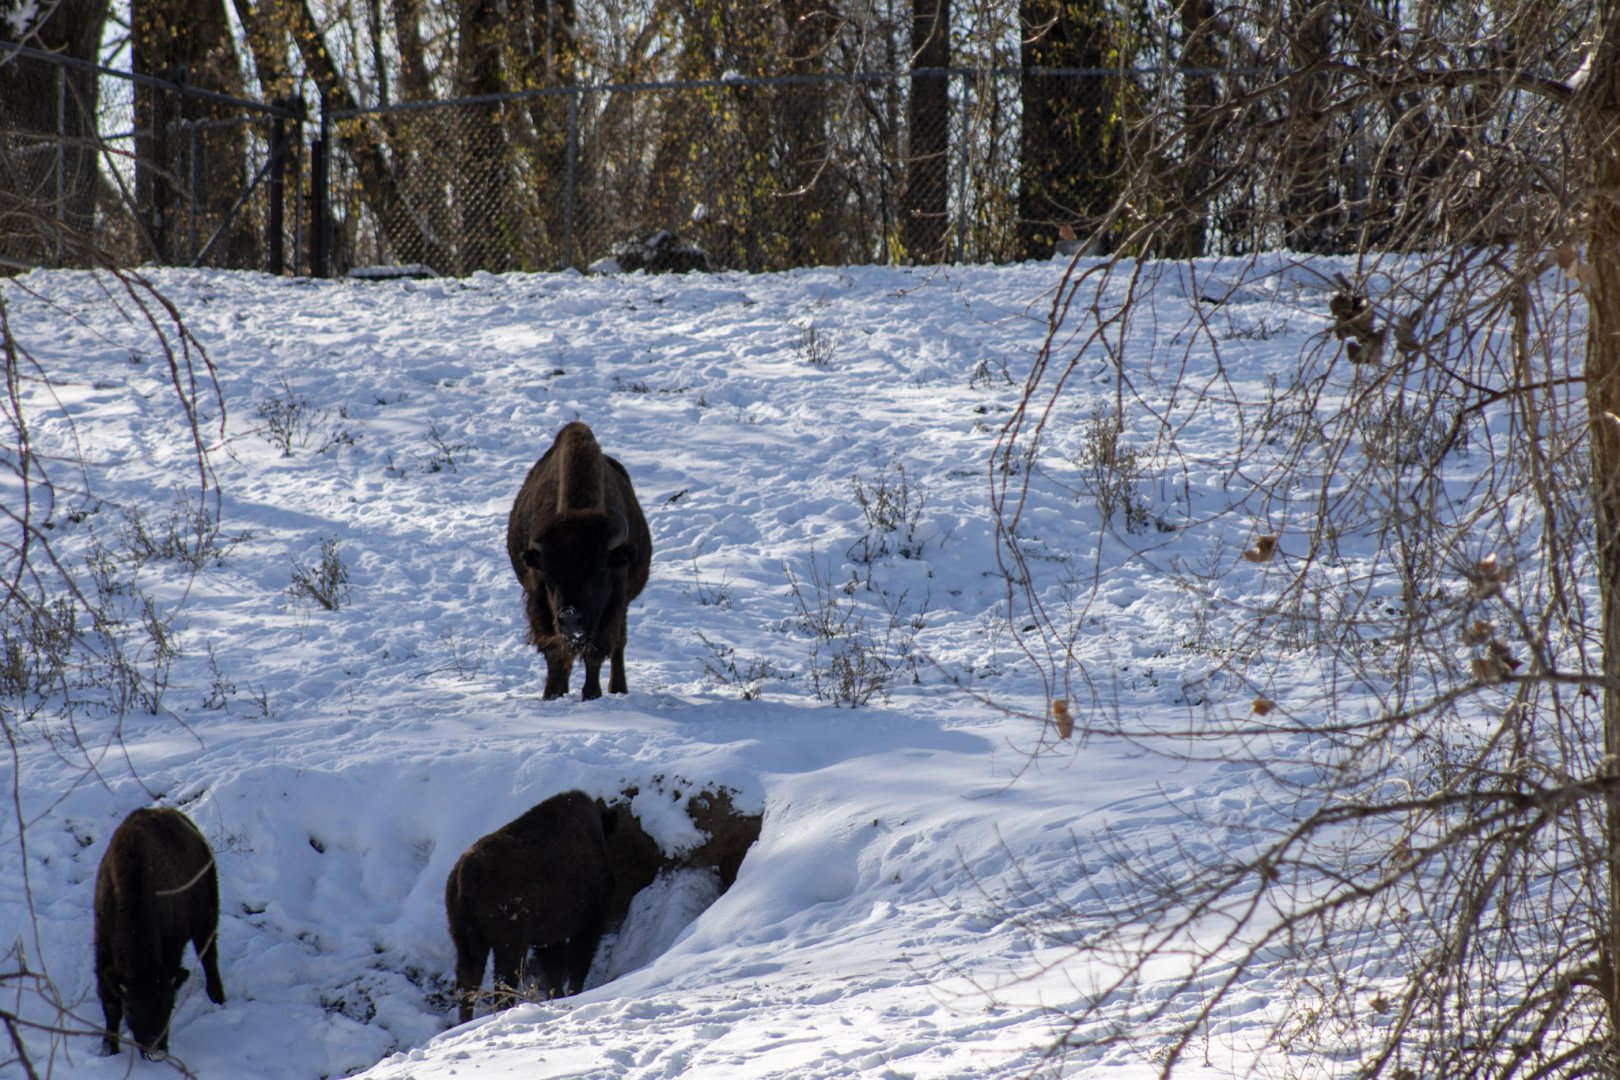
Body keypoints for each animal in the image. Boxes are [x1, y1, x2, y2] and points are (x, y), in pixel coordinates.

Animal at [94, 806, 226, 1059]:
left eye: (169, 1007)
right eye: (132, 1009)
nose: (156, 1052)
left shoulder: (172, 950)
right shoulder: (103, 952)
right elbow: (110, 1005)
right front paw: (109, 1049)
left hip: (206, 917)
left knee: (209, 956)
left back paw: (218, 997)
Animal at [445, 790, 618, 1022]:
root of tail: (466, 872)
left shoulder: (548, 938)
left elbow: (554, 972)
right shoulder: (589, 924)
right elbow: (575, 967)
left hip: (466, 938)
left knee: (468, 982)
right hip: (510, 942)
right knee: (503, 980)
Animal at [506, 421, 652, 700]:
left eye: (599, 569)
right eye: (549, 573)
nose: (571, 619)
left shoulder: (612, 605)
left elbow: (596, 653)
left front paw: (591, 694)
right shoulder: (540, 602)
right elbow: (554, 652)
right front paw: (551, 694)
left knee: (619, 644)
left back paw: (618, 688)